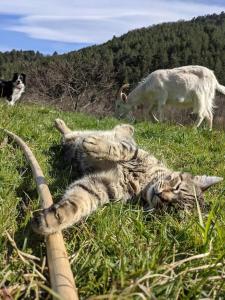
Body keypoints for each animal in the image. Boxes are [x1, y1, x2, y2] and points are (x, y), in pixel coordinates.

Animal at [31, 119, 223, 234]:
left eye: (173, 208)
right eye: (176, 186)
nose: (162, 196)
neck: (144, 184)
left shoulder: (101, 185)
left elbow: (77, 203)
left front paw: (53, 220)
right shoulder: (134, 153)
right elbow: (121, 149)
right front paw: (96, 145)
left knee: (69, 136)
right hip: (82, 137)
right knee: (79, 133)